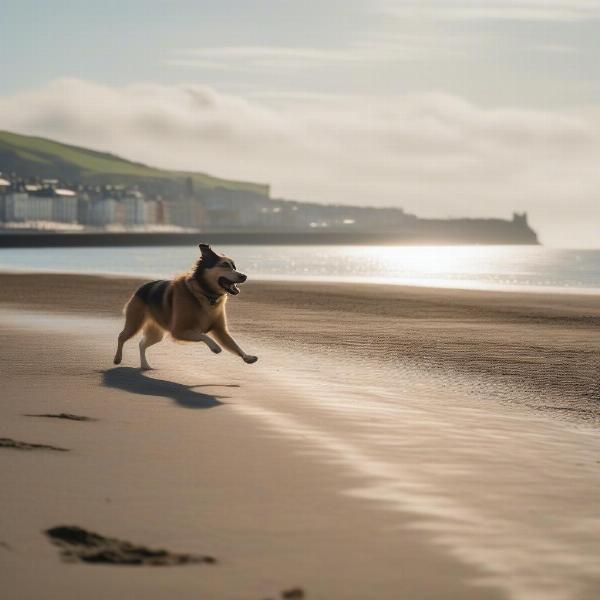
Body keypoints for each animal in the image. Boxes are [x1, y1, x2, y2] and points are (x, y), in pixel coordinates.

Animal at [112, 244, 258, 370]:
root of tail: (140, 288)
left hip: (157, 333)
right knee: (121, 336)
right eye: (224, 265)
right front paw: (215, 347)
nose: (244, 276)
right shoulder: (178, 331)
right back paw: (117, 358)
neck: (204, 293)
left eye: (234, 266)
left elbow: (234, 344)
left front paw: (247, 357)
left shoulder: (220, 330)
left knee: (141, 344)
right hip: (134, 323)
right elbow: (202, 335)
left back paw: (145, 365)